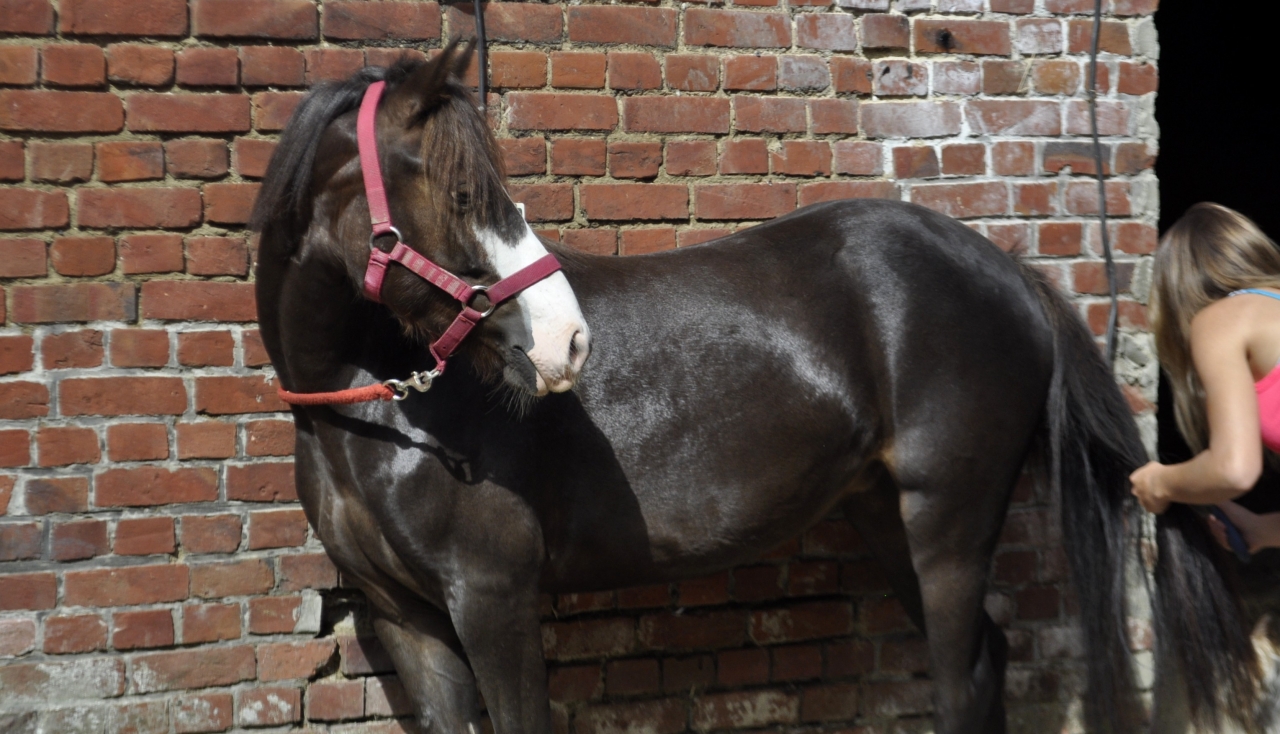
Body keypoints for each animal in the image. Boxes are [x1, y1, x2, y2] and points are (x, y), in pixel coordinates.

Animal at [251, 44, 1261, 733]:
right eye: (461, 196)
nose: (568, 340)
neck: (379, 416)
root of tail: (1005, 271)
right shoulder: (406, 617)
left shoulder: (493, 599)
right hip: (885, 515)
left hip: (948, 519)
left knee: (962, 672)